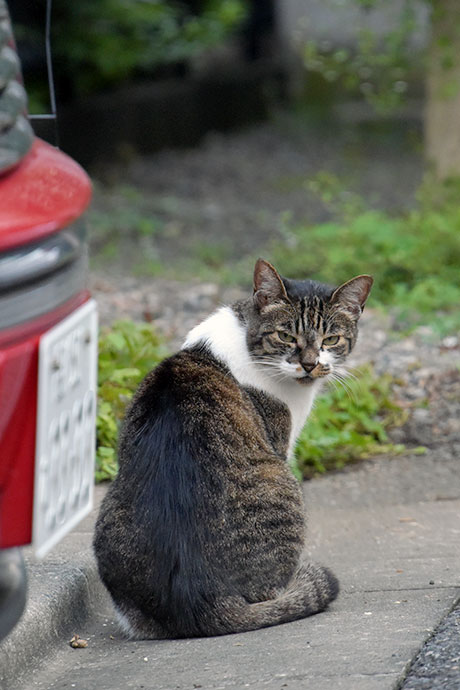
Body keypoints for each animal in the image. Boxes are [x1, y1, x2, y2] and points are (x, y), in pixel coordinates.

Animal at [92, 260, 370, 640]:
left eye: (331, 339)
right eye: (286, 336)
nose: (310, 363)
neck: (245, 336)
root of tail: (200, 600)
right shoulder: (280, 442)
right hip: (282, 480)